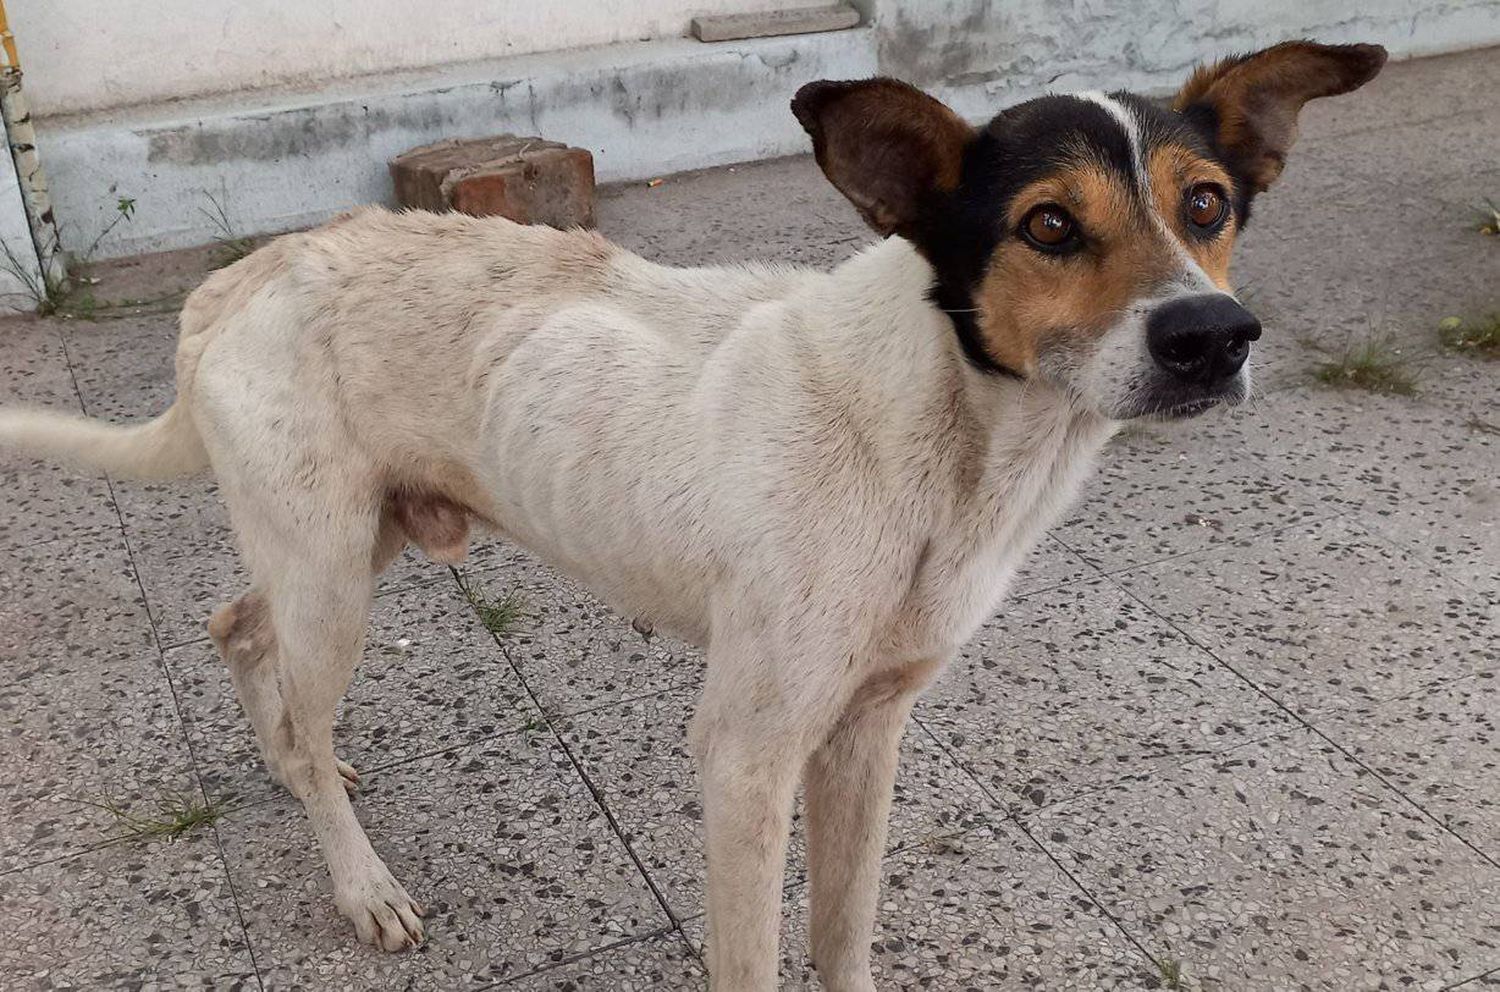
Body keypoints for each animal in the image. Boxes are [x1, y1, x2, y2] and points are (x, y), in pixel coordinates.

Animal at [0, 38, 1380, 990]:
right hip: (334, 570)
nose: (1214, 335)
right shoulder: (748, 751)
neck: (947, 434)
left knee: (242, 631)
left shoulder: (869, 728)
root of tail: (237, 280)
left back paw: (299, 752)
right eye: (1049, 223)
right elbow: (753, 954)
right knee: (285, 665)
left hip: (356, 538)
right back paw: (360, 878)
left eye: (1206, 204)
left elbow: (845, 928)